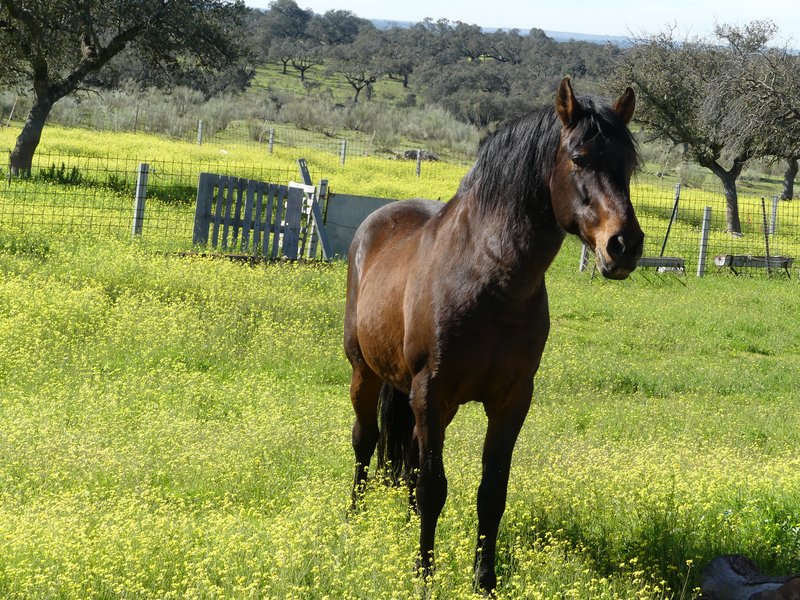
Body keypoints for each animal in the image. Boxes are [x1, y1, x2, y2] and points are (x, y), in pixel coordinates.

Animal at [344, 77, 644, 592]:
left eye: (628, 165)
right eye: (580, 157)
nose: (624, 246)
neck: (488, 276)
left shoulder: (512, 400)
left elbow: (491, 492)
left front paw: (484, 580)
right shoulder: (432, 391)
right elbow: (434, 487)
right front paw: (424, 576)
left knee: (406, 457)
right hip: (365, 370)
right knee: (366, 441)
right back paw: (353, 519)